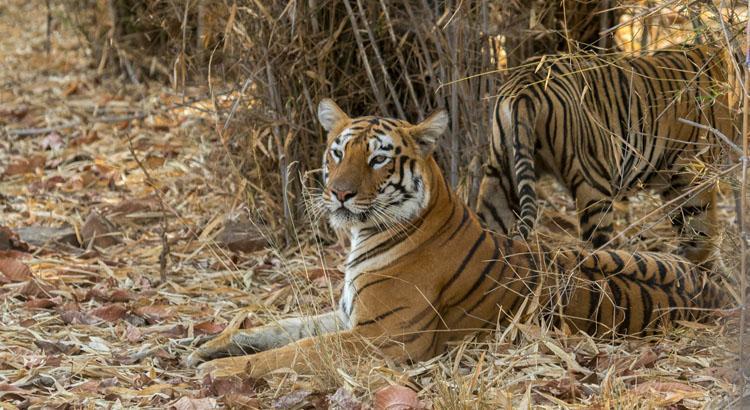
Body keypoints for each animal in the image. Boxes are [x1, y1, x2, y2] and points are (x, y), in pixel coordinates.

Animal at [187, 99, 727, 379]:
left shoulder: (384, 336)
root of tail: (712, 289)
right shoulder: (348, 316)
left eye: (378, 158)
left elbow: (293, 352)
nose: (338, 193)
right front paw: (209, 348)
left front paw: (219, 374)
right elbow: (281, 329)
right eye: (338, 152)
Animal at [476, 46, 736, 266]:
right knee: (595, 248)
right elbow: (701, 231)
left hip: (500, 174)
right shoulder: (691, 172)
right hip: (592, 181)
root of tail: (525, 85)